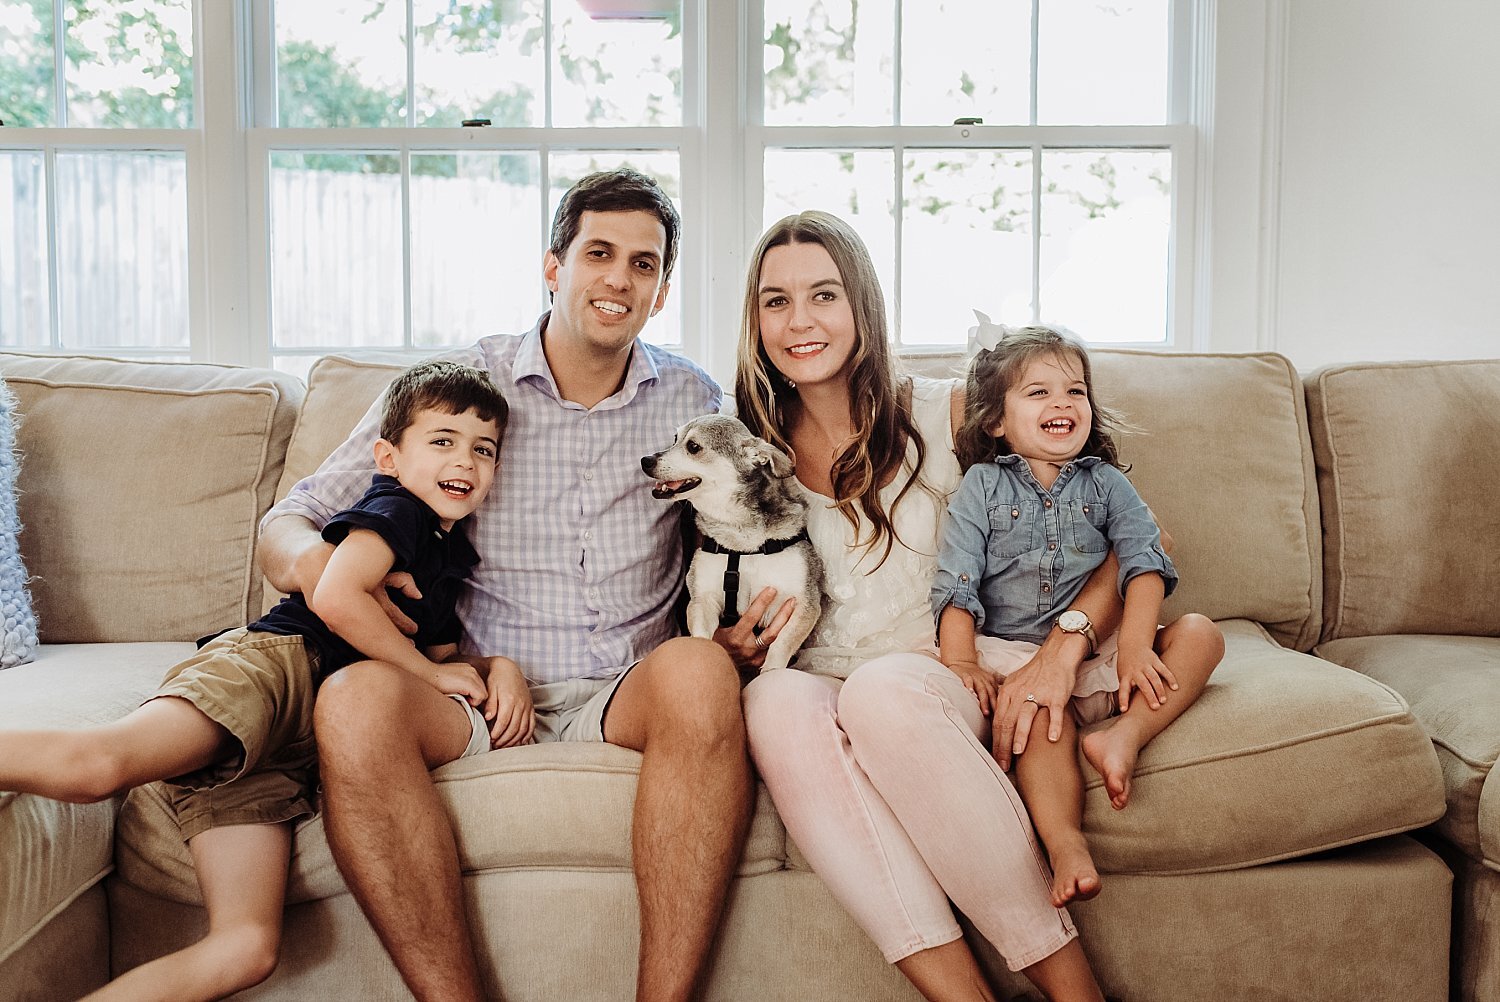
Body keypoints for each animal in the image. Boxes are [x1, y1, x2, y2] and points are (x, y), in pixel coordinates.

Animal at [633, 414, 822, 672]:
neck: (745, 545)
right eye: (675, 439)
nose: (645, 460)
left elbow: (781, 644)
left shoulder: (804, 604)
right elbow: (702, 638)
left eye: (693, 447)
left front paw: (771, 670)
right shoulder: (702, 600)